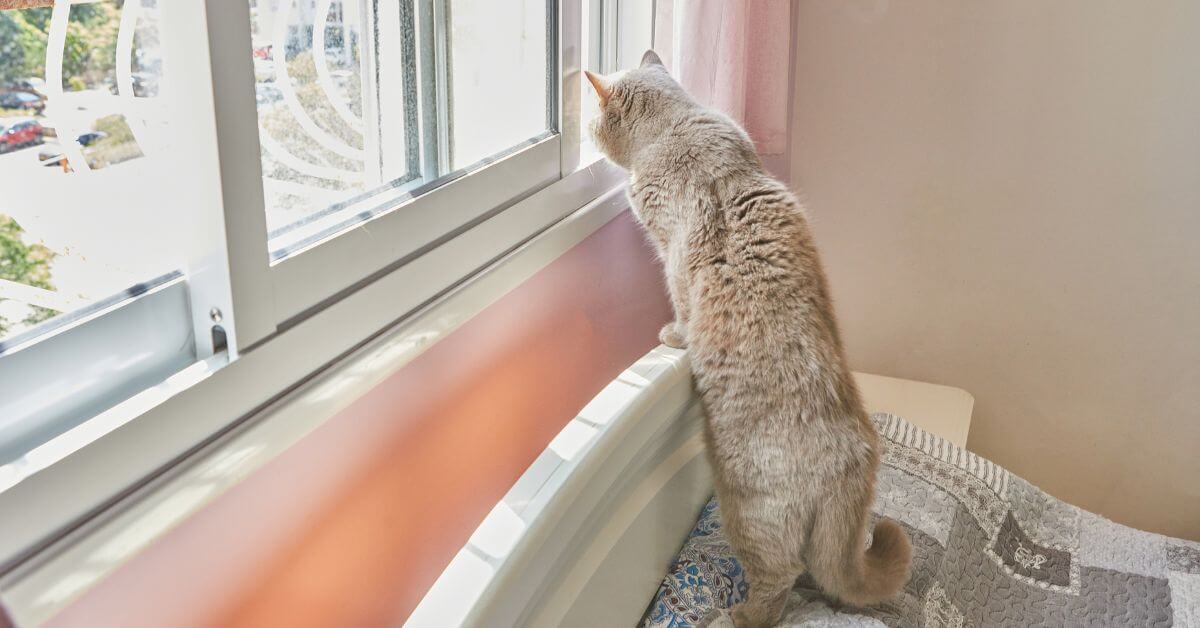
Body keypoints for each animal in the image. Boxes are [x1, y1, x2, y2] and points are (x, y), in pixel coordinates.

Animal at [585, 51, 912, 624]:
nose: (585, 128)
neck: (678, 126)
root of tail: (856, 457)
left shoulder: (673, 254)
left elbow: (679, 303)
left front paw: (674, 335)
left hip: (748, 513)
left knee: (778, 582)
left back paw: (733, 614)